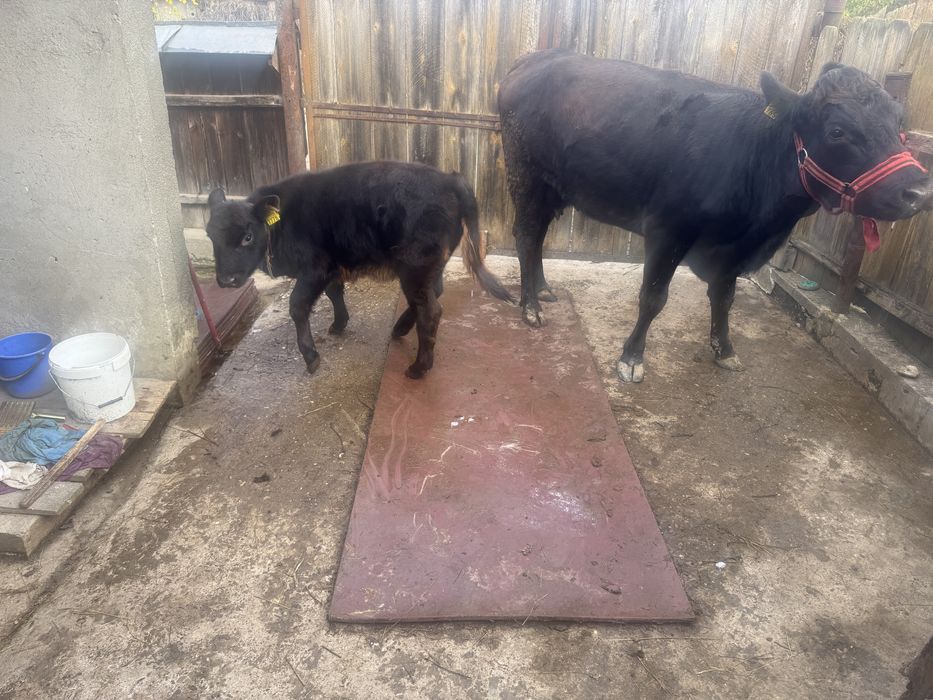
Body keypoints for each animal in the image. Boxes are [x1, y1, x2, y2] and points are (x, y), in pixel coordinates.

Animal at [206, 162, 513, 379]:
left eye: (247, 236)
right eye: (210, 234)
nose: (226, 280)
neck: (283, 220)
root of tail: (451, 179)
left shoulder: (314, 269)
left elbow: (297, 306)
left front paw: (311, 357)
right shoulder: (332, 267)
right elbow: (334, 293)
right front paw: (339, 324)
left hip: (414, 268)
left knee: (430, 311)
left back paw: (418, 368)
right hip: (426, 269)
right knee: (432, 294)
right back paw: (399, 329)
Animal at [498, 50, 932, 383]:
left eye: (899, 125)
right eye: (838, 131)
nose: (918, 191)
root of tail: (534, 60)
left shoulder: (734, 252)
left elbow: (725, 298)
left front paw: (724, 350)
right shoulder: (668, 230)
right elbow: (653, 298)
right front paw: (632, 358)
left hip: (555, 187)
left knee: (538, 235)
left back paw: (542, 289)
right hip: (526, 175)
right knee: (526, 233)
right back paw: (530, 308)